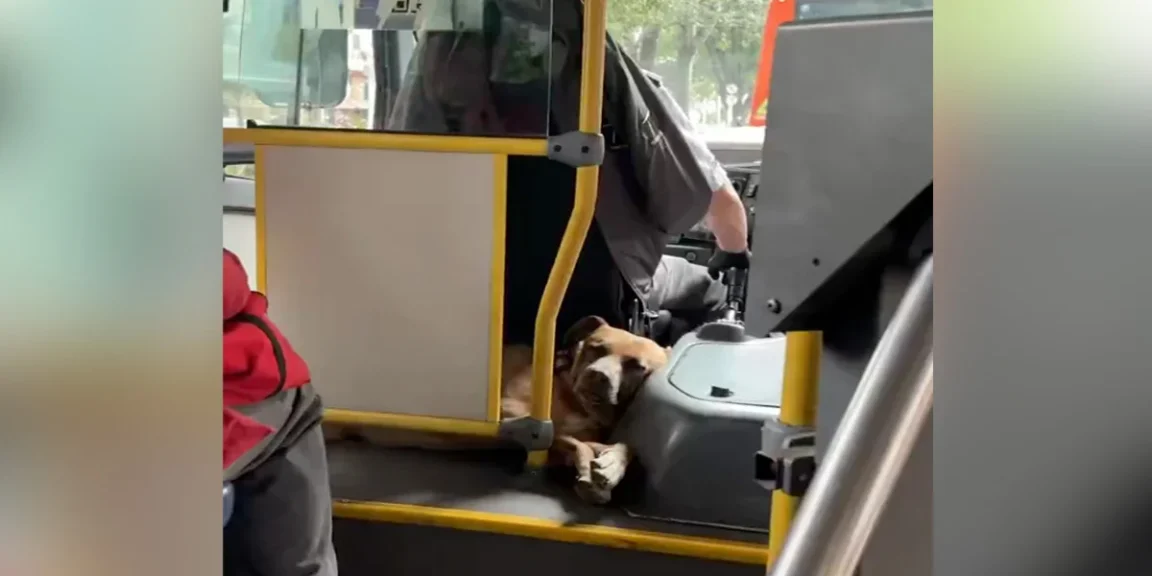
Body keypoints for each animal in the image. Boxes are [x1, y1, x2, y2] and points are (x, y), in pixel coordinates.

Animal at [327, 315, 668, 504]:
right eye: (596, 348)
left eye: (636, 366)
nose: (597, 375)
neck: (576, 401)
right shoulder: (511, 413)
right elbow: (568, 439)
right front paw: (588, 470)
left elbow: (621, 446)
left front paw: (611, 465)